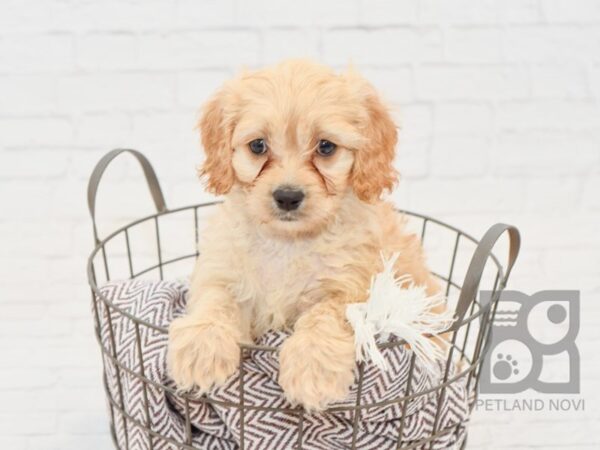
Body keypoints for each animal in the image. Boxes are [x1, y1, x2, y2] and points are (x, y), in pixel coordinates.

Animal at [166, 59, 438, 412]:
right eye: (258, 146)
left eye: (326, 147)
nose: (287, 197)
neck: (287, 241)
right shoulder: (221, 271)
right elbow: (215, 301)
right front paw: (202, 347)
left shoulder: (356, 287)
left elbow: (327, 314)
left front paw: (313, 368)